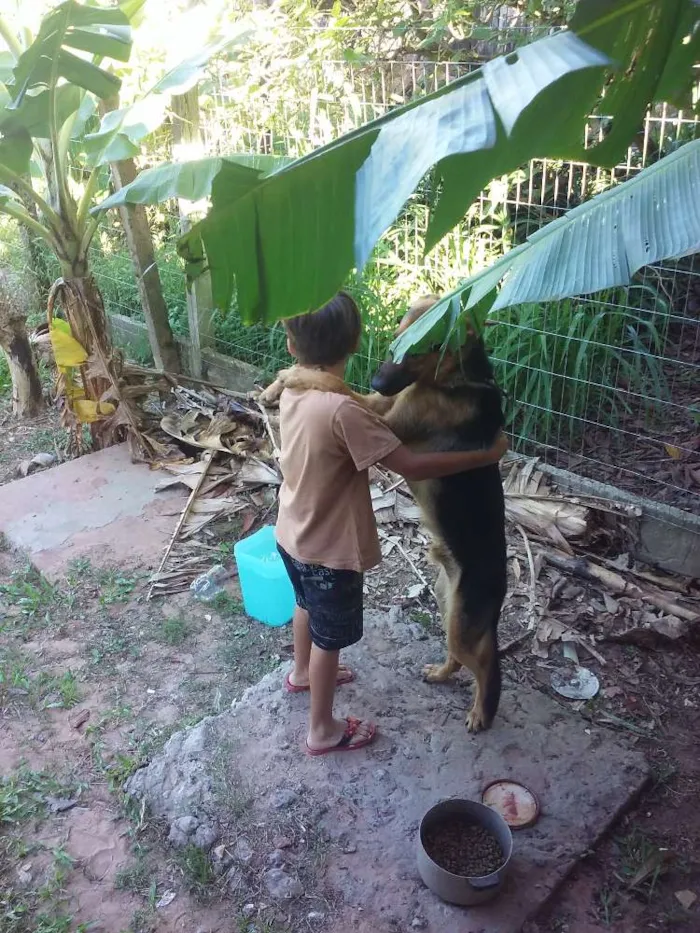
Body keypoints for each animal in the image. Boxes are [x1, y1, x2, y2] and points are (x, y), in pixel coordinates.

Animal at [260, 296, 506, 728]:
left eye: (421, 349)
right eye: (397, 338)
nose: (378, 381)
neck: (454, 380)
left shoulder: (384, 420)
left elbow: (336, 385)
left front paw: (294, 376)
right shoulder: (381, 406)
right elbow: (338, 385)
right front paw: (284, 379)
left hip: (463, 620)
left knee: (486, 664)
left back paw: (482, 710)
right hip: (448, 603)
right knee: (464, 656)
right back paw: (441, 675)